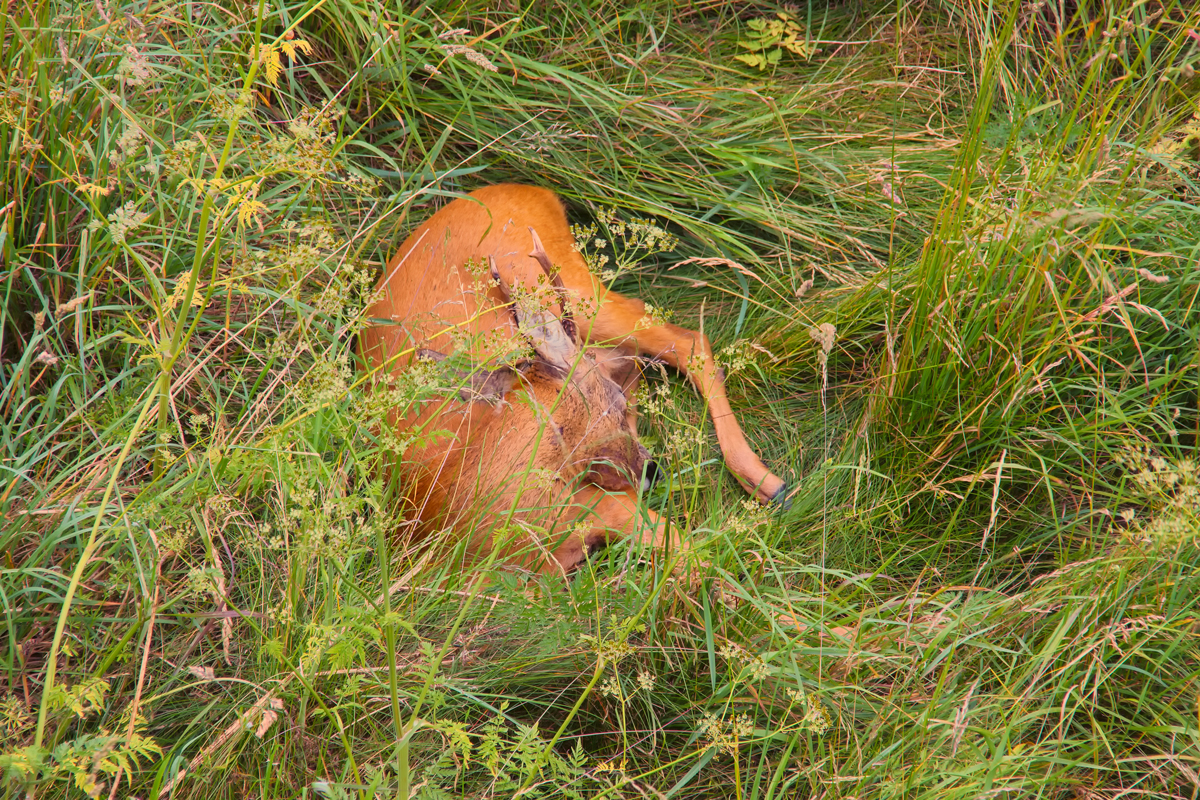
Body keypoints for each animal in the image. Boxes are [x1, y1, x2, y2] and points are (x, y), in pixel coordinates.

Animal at [357, 184, 787, 573]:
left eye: (615, 405)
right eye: (564, 430)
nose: (650, 470)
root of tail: (531, 189)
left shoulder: (609, 504)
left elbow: (697, 564)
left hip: (584, 293)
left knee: (684, 340)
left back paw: (768, 483)